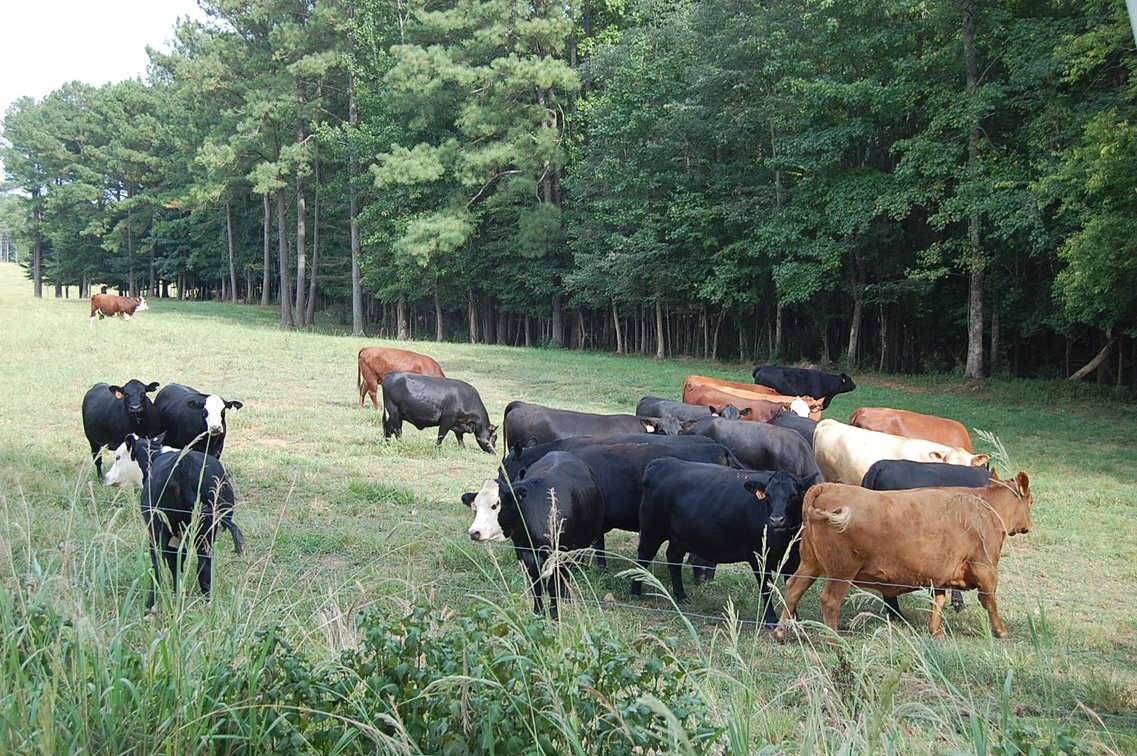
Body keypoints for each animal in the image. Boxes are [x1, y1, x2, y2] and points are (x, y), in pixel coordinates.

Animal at [119, 435, 245, 612]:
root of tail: (182, 466)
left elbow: (174, 563)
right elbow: (177, 563)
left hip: (160, 528)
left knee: (159, 566)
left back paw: (151, 606)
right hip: (201, 531)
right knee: (201, 566)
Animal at [463, 452, 604, 617]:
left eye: (495, 505)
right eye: (475, 506)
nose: (474, 532)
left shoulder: (562, 553)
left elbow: (553, 586)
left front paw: (554, 616)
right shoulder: (526, 554)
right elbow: (536, 586)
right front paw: (538, 614)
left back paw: (567, 598)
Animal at [633, 457, 819, 626]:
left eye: (793, 495)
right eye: (767, 495)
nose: (777, 520)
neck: (785, 539)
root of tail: (661, 462)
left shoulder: (793, 560)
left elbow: (792, 588)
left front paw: (794, 619)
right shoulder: (758, 556)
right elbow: (766, 588)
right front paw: (771, 620)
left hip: (679, 537)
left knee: (673, 558)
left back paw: (681, 597)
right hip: (652, 530)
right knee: (643, 557)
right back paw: (635, 592)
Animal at [773, 474, 1034, 641]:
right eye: (1031, 501)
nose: (1029, 525)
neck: (986, 507)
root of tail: (826, 487)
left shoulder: (939, 573)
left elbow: (937, 601)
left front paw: (936, 631)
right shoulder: (985, 568)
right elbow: (989, 601)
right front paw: (1001, 631)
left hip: (810, 564)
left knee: (793, 589)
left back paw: (781, 632)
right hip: (841, 572)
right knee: (829, 601)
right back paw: (834, 639)